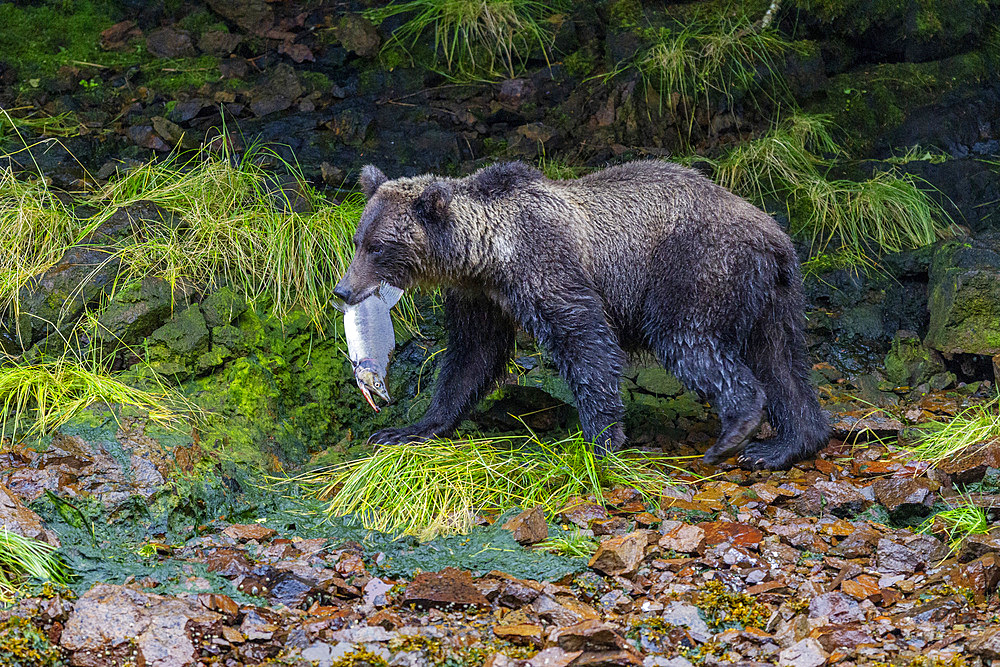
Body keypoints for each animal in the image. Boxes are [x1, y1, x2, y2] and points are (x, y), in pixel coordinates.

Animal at [336, 160, 828, 470]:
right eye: (359, 240)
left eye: (378, 246)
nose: (343, 290)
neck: (488, 255)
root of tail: (772, 234)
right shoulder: (480, 298)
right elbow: (470, 358)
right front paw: (407, 429)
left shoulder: (546, 265)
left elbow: (586, 342)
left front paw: (599, 440)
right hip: (771, 297)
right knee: (781, 362)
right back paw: (785, 445)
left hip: (697, 267)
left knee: (689, 341)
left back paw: (737, 432)